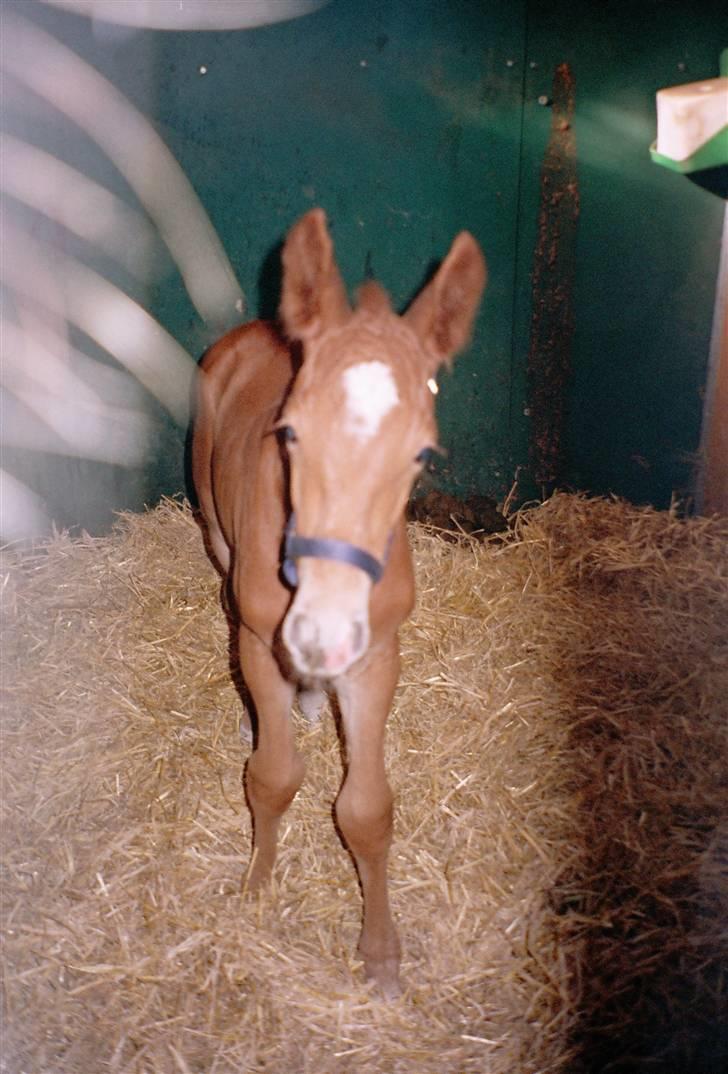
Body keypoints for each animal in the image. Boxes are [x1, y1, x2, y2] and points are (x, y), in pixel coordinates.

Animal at [192, 209, 485, 996]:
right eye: (290, 431)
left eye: (422, 454)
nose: (320, 634)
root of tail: (256, 326)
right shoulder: (262, 639)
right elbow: (272, 776)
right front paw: (256, 888)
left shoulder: (377, 654)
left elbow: (367, 810)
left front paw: (380, 953)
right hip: (215, 533)